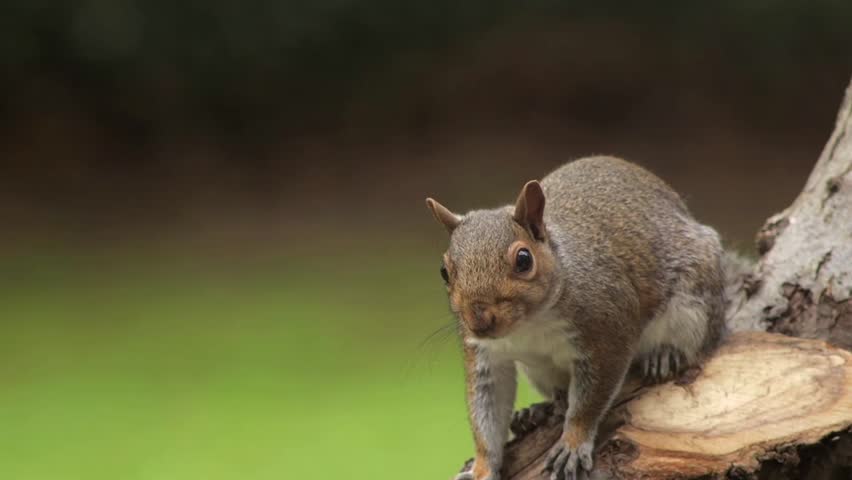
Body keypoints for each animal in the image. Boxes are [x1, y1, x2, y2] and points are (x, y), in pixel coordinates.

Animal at [425, 156, 727, 480]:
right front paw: (481, 469)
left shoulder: (609, 328)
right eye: (444, 271)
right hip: (538, 372)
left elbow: (589, 401)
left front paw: (573, 443)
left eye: (524, 260)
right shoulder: (485, 356)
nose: (479, 321)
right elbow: (486, 412)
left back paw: (665, 355)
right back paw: (536, 412)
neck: (528, 326)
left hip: (693, 304)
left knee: (699, 339)